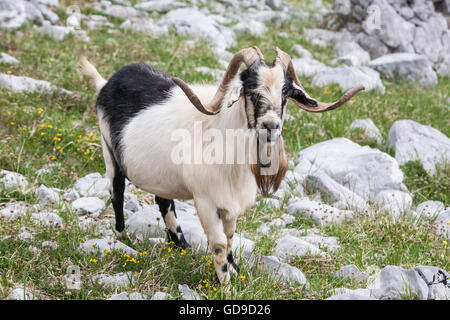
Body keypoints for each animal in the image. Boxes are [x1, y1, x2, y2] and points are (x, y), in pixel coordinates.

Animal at [79, 46, 364, 284]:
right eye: (250, 88)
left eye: (285, 91)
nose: (271, 125)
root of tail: (107, 83)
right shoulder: (205, 199)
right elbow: (217, 244)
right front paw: (224, 284)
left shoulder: (230, 202)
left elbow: (229, 239)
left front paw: (235, 272)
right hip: (109, 151)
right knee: (116, 193)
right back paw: (123, 239)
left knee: (163, 200)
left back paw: (180, 246)